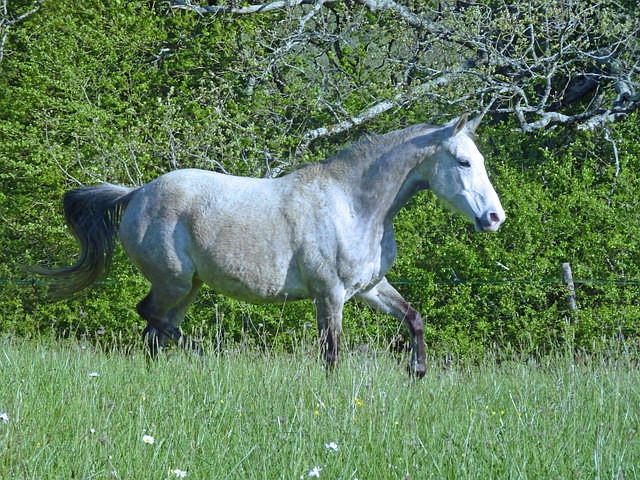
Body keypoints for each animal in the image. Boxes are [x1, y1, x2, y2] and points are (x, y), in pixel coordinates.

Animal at [28, 114, 504, 376]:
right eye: (463, 162)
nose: (494, 218)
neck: (352, 205)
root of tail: (137, 193)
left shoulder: (368, 290)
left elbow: (413, 317)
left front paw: (417, 370)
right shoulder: (329, 294)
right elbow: (332, 354)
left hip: (187, 288)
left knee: (154, 334)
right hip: (173, 282)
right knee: (151, 318)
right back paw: (203, 355)